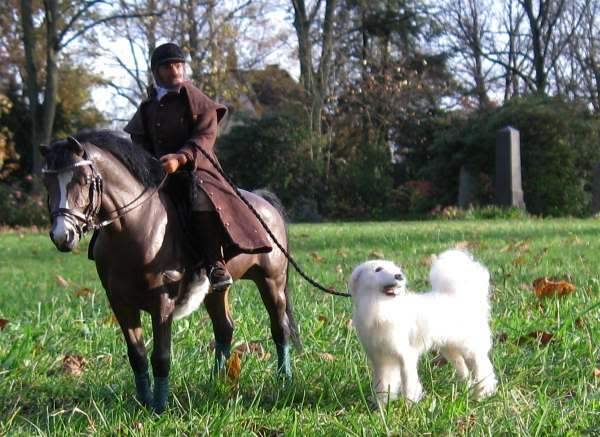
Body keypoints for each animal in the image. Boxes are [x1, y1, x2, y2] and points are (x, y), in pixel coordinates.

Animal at [39, 130, 298, 412]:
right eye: (47, 183)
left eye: (84, 180)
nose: (62, 236)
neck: (133, 227)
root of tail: (266, 205)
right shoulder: (120, 303)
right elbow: (137, 355)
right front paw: (144, 402)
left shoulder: (162, 302)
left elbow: (161, 356)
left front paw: (160, 407)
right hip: (215, 292)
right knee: (224, 328)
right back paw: (216, 381)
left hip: (271, 282)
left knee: (279, 327)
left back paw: (284, 378)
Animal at [346, 250, 496, 404]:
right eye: (378, 269)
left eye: (396, 269)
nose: (399, 276)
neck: (382, 309)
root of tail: (462, 296)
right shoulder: (381, 361)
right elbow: (382, 386)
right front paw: (381, 406)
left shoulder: (405, 356)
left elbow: (409, 384)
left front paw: (409, 405)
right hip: (450, 349)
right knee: (464, 370)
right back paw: (466, 391)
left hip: (469, 348)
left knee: (483, 370)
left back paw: (482, 394)